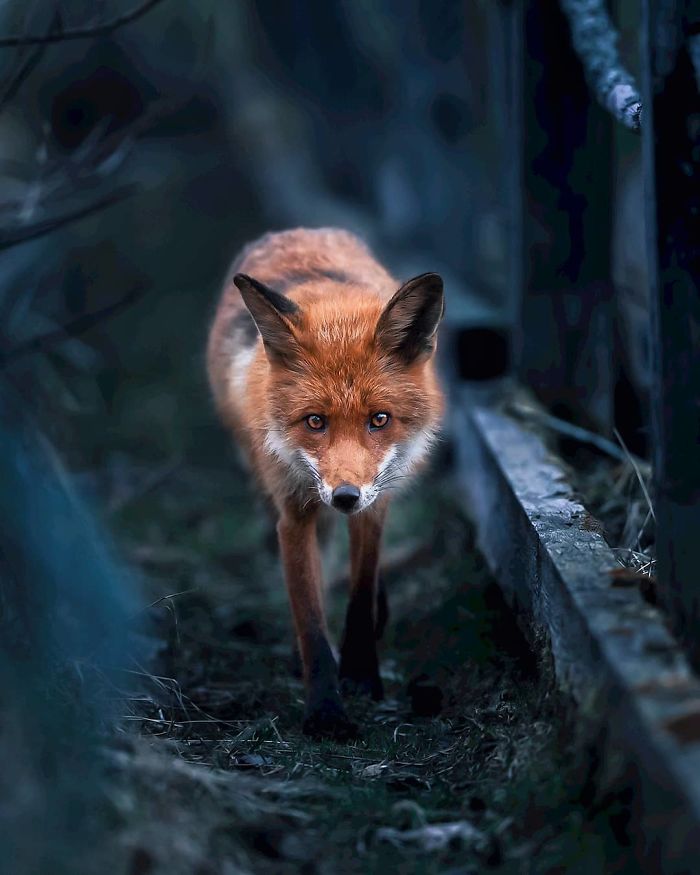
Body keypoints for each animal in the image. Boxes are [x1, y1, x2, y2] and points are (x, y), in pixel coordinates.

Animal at [207, 228, 444, 739]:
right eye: (315, 421)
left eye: (380, 419)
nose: (345, 496)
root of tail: (297, 232)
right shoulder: (293, 516)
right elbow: (311, 621)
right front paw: (326, 712)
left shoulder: (374, 506)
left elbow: (360, 588)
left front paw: (361, 672)